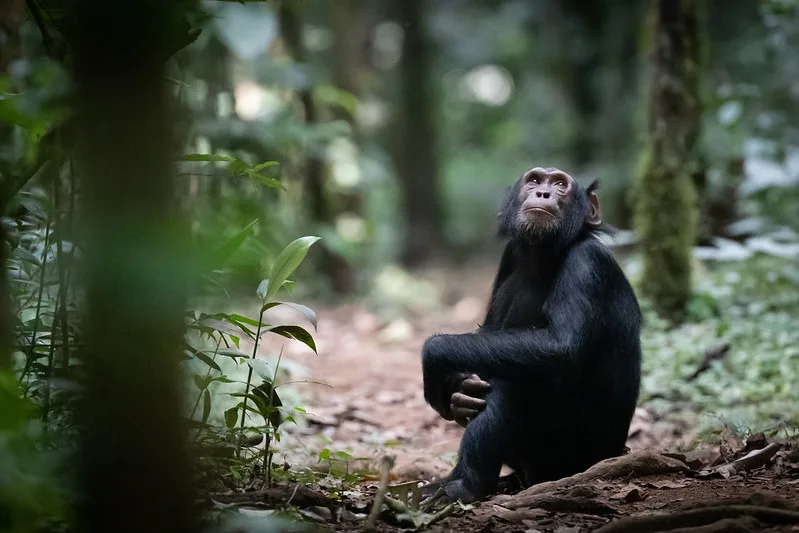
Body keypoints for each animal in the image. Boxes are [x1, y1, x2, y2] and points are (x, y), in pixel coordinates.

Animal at [422, 166, 640, 502]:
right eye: (535, 180)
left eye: (561, 184)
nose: (543, 193)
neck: (546, 255)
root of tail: (615, 452)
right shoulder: (510, 255)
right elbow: (489, 330)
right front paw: (458, 391)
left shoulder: (587, 263)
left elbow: (561, 346)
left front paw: (435, 358)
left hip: (569, 457)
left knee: (518, 375)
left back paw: (467, 486)